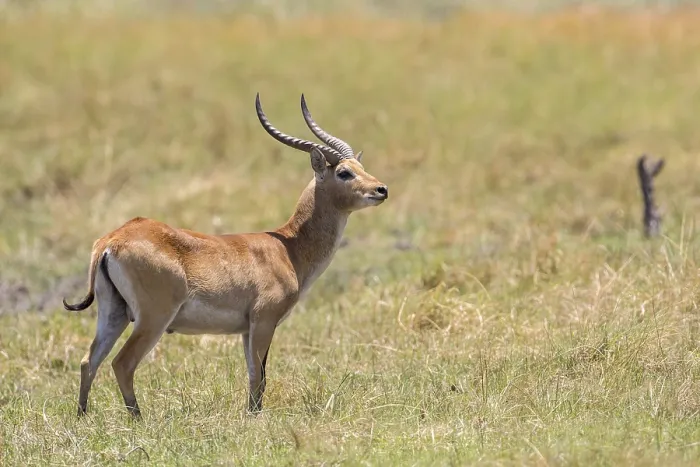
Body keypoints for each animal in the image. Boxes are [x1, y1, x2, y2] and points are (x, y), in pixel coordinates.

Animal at [63, 93, 389, 418]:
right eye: (344, 172)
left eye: (360, 166)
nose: (381, 189)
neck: (289, 250)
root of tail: (112, 240)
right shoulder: (263, 322)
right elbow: (259, 377)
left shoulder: (247, 329)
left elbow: (255, 374)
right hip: (153, 318)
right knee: (122, 363)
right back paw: (139, 421)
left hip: (113, 313)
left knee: (88, 361)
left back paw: (83, 418)